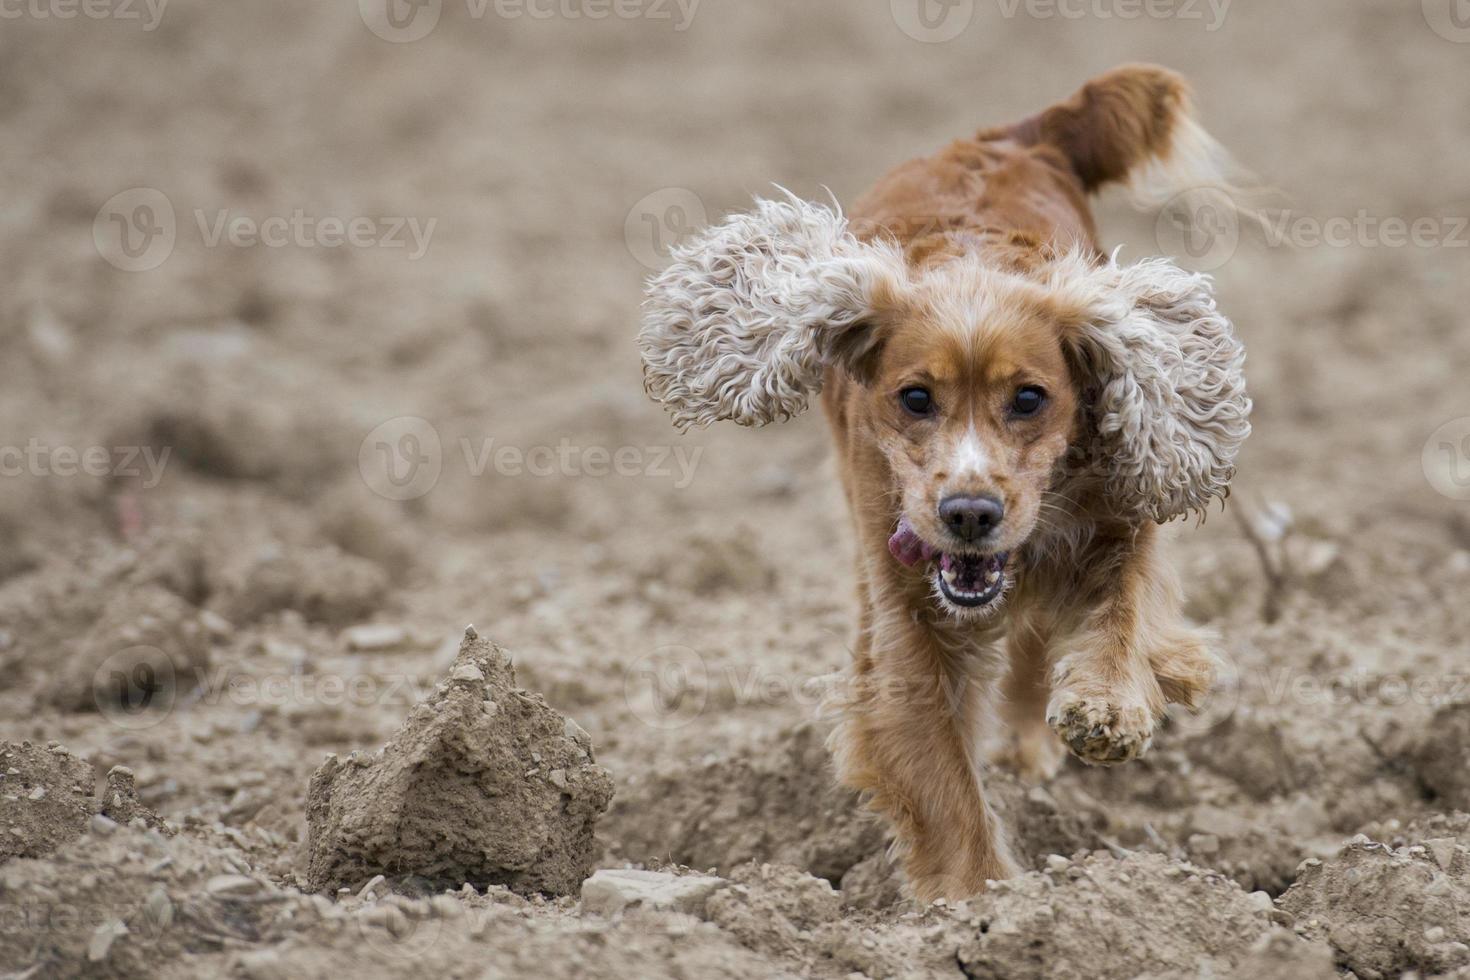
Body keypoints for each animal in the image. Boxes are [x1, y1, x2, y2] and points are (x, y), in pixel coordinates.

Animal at [637, 65, 1246, 899]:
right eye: (915, 398)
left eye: (1030, 398)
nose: (968, 513)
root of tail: (1004, 137)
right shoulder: (908, 617)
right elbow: (944, 782)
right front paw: (982, 899)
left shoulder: (1118, 518)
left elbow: (1127, 609)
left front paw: (1108, 705)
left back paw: (1028, 740)